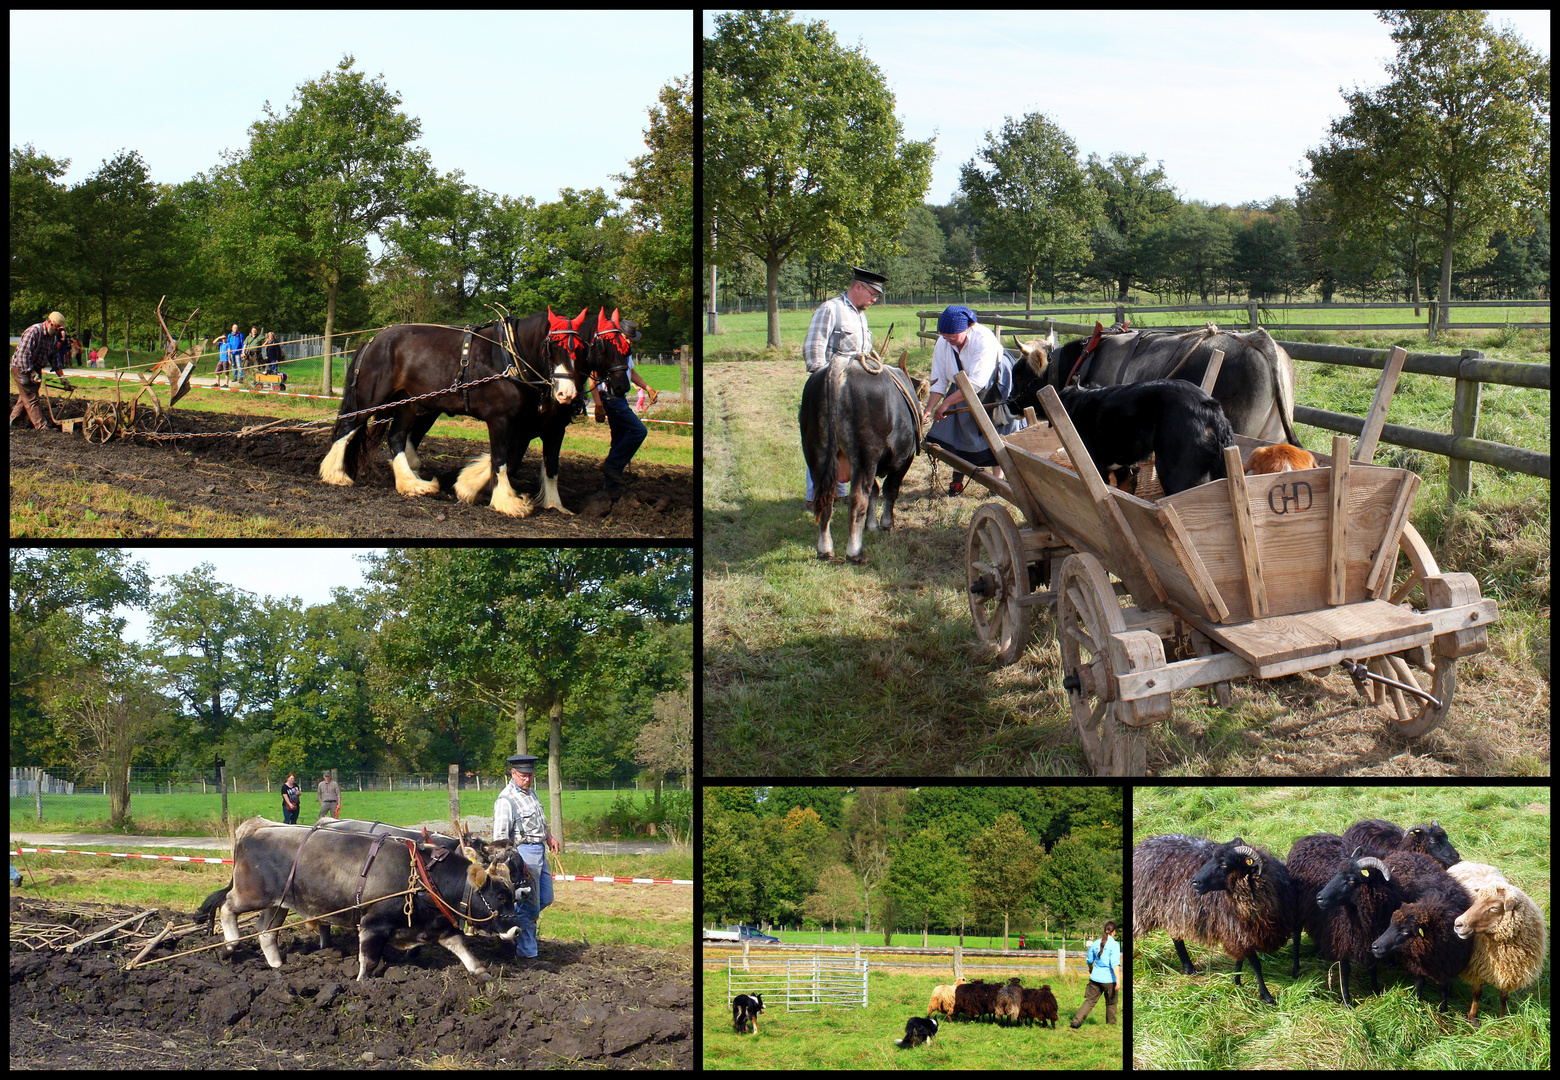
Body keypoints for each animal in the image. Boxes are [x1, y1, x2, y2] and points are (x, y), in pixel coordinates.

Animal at [319, 310, 586, 518]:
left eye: (579, 350)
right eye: (552, 346)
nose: (567, 393)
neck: (510, 355)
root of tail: (373, 340)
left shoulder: (527, 425)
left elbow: (527, 461)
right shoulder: (500, 420)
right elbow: (501, 459)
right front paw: (505, 501)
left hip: (406, 404)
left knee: (396, 439)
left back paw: (413, 484)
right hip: (372, 400)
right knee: (348, 428)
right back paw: (335, 474)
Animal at [1447, 880, 1547, 1023]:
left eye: (1494, 908)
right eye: (1475, 901)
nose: (1457, 924)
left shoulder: (1509, 973)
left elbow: (1503, 998)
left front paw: (1501, 1019)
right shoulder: (1476, 969)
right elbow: (1476, 994)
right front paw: (1472, 1018)